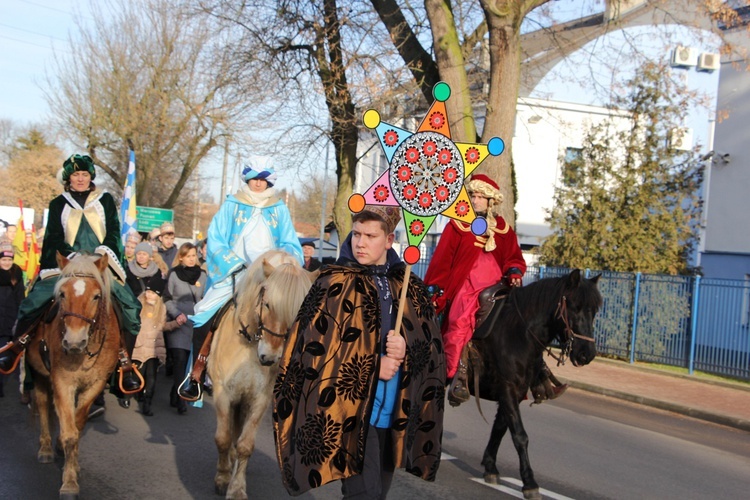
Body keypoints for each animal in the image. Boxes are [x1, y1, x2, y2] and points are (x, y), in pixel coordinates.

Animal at [26, 254, 122, 500]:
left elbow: (77, 425)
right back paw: (46, 448)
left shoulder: (95, 384)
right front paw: (69, 483)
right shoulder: (62, 382)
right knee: (42, 405)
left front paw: (72, 465)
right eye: (62, 294)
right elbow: (70, 432)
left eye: (96, 296)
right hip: (39, 374)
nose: (74, 342)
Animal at [206, 248, 318, 498]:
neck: (249, 346)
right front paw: (222, 478)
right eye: (266, 304)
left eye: (298, 312)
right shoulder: (223, 393)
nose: (270, 358)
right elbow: (222, 438)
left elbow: (245, 445)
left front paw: (237, 487)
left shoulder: (259, 399)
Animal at [470, 270, 604, 500]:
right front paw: (529, 482)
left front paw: (490, 467)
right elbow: (520, 435)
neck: (518, 332)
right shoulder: (507, 388)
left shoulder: (515, 391)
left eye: (594, 311)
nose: (587, 354)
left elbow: (501, 428)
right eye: (574, 306)